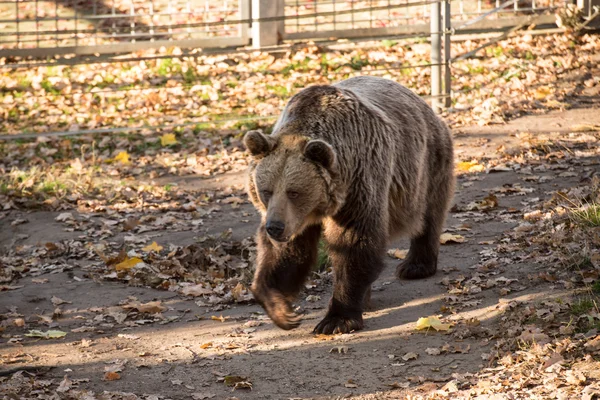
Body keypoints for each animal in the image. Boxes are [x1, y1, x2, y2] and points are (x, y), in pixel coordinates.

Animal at [241, 76, 452, 334]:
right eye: (266, 191)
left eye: (294, 192)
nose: (275, 227)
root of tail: (422, 102)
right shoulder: (294, 218)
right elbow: (288, 253)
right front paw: (282, 310)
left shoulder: (360, 182)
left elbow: (353, 243)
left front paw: (336, 319)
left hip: (426, 163)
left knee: (428, 214)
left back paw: (415, 266)